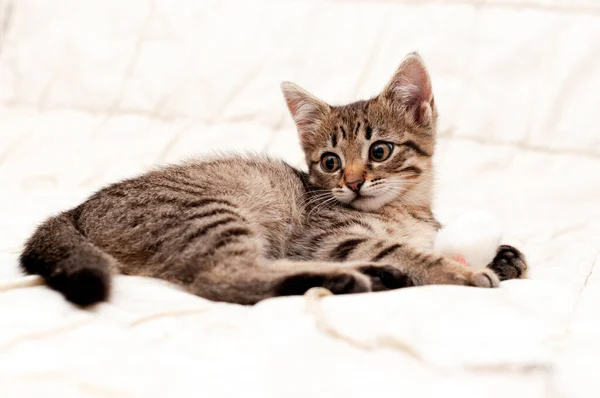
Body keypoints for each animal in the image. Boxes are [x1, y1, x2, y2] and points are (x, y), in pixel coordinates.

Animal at [19, 52, 524, 306]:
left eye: (379, 151)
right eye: (330, 162)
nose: (353, 183)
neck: (407, 208)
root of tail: (77, 209)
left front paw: (504, 254)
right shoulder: (324, 238)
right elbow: (405, 250)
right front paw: (463, 271)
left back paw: (375, 277)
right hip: (212, 211)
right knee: (222, 278)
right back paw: (353, 279)